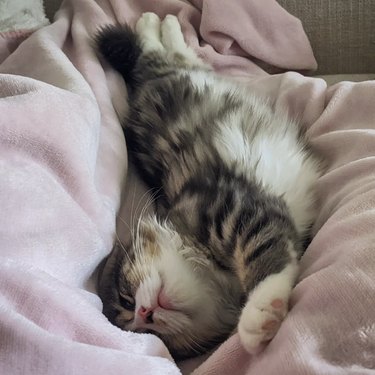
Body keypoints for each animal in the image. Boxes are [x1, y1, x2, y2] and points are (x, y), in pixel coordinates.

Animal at [95, 13, 322, 360]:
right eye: (142, 330)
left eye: (126, 298)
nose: (146, 313)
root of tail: (142, 86)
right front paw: (259, 315)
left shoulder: (238, 208)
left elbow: (269, 258)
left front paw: (259, 312)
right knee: (178, 53)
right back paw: (162, 22)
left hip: (165, 71)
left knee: (154, 51)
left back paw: (155, 21)